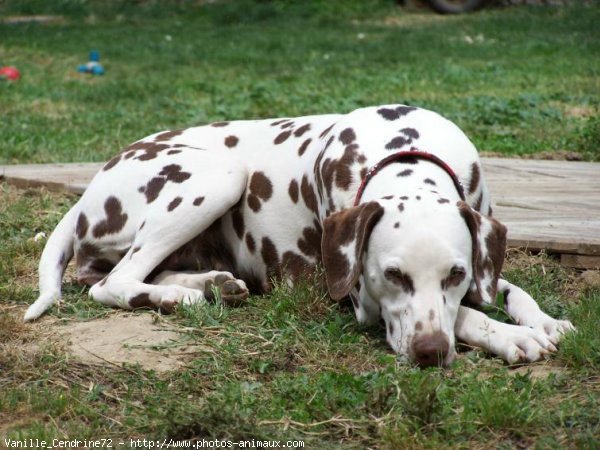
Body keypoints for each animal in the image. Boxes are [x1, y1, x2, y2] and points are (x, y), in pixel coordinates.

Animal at [25, 104, 576, 366]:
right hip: (218, 177)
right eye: (391, 275)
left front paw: (544, 321)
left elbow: (507, 291)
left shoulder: (481, 255)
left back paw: (206, 286)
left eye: (456, 273)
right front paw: (510, 336)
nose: (430, 352)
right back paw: (180, 299)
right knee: (111, 282)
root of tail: (89, 186)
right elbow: (463, 315)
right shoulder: (356, 297)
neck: (405, 149)